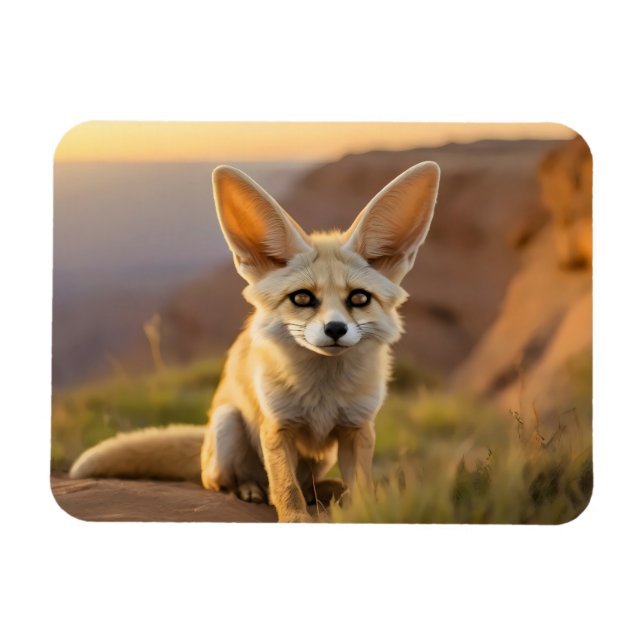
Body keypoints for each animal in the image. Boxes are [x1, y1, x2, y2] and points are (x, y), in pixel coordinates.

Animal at [69, 161, 441, 522]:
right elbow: (286, 489)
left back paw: (324, 491)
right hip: (227, 425)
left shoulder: (357, 429)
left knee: (310, 484)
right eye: (302, 298)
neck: (322, 393)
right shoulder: (276, 427)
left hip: (319, 457)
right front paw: (295, 519)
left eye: (359, 298)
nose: (335, 329)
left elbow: (359, 489)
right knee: (221, 481)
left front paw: (362, 512)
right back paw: (249, 490)